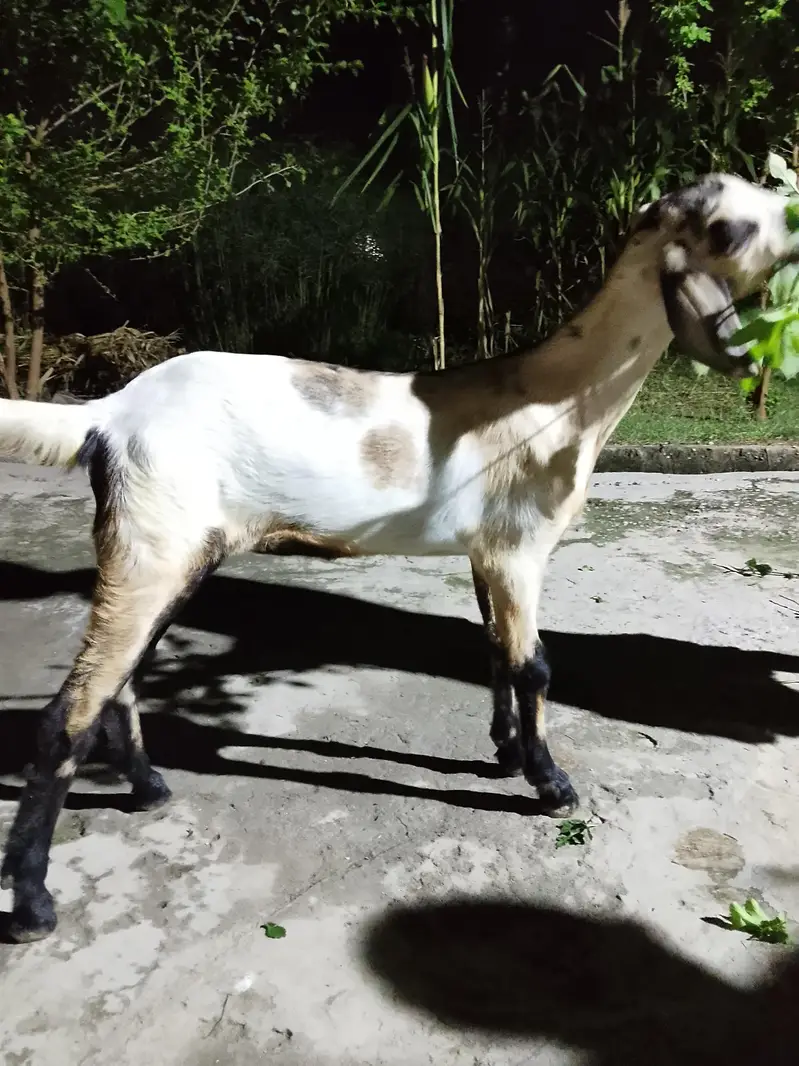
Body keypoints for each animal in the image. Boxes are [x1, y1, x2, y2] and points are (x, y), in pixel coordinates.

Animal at [1, 172, 797, 943]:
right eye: (730, 228)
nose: (792, 234)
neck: (555, 399)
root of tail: (110, 414)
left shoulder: (484, 553)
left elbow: (493, 651)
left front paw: (505, 752)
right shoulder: (520, 548)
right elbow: (533, 666)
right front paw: (550, 785)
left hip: (158, 547)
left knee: (118, 684)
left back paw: (149, 790)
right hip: (156, 543)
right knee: (67, 711)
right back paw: (34, 905)